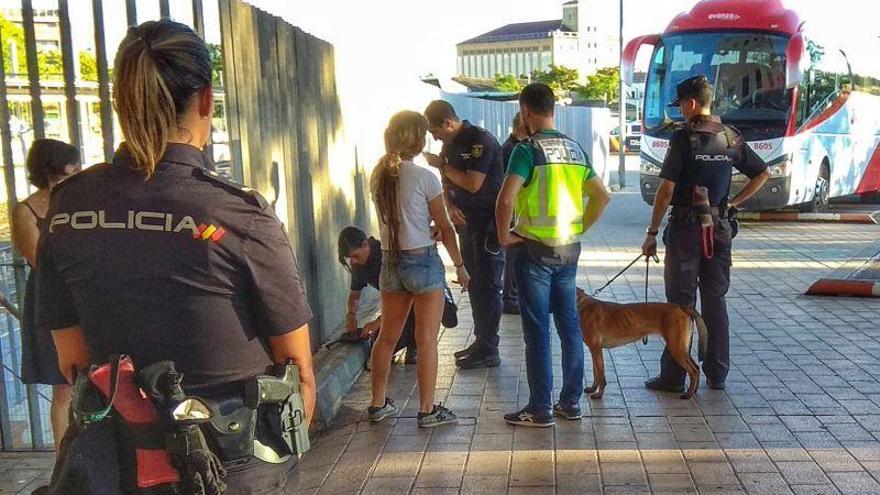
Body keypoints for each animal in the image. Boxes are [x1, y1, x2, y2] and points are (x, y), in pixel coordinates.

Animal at [576, 288, 708, 402]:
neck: (581, 304)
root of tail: (682, 307)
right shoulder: (594, 350)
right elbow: (596, 373)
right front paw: (593, 388)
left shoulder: (596, 350)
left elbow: (600, 376)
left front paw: (598, 394)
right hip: (681, 347)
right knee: (696, 367)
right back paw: (694, 390)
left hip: (676, 348)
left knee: (693, 370)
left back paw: (688, 394)